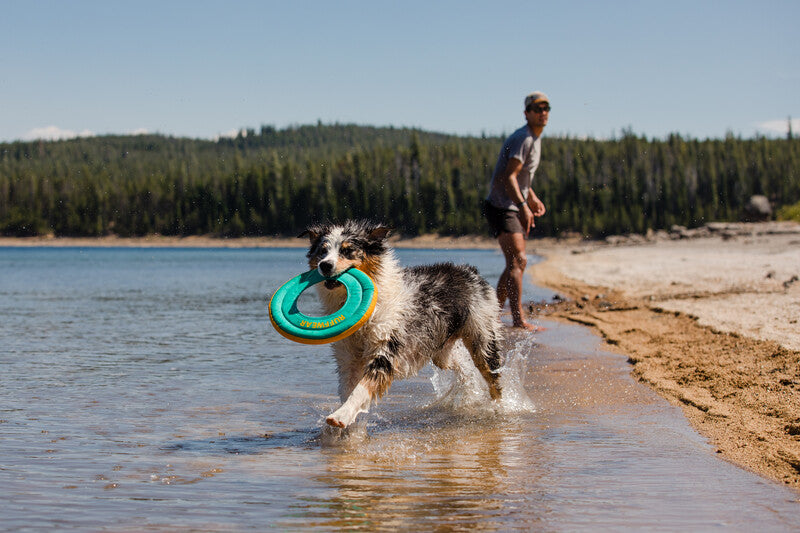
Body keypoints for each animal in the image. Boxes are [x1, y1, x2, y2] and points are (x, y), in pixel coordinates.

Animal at [300, 220, 500, 428]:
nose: (325, 265)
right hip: (440, 350)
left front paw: (341, 415)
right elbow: (348, 388)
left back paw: (500, 406)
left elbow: (362, 388)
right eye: (322, 251)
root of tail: (469, 271)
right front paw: (348, 424)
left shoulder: (386, 347)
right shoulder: (348, 355)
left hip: (482, 334)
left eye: (348, 251)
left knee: (491, 373)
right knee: (460, 365)